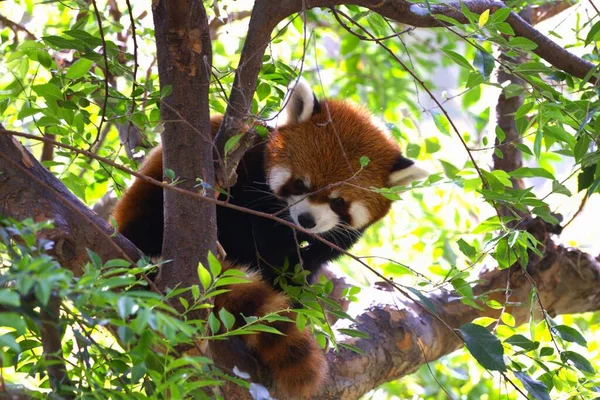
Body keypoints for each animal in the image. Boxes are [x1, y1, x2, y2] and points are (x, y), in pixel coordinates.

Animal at [112, 78, 428, 396]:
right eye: (301, 184)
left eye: (338, 202)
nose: (307, 220)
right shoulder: (248, 176)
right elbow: (265, 248)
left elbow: (303, 268)